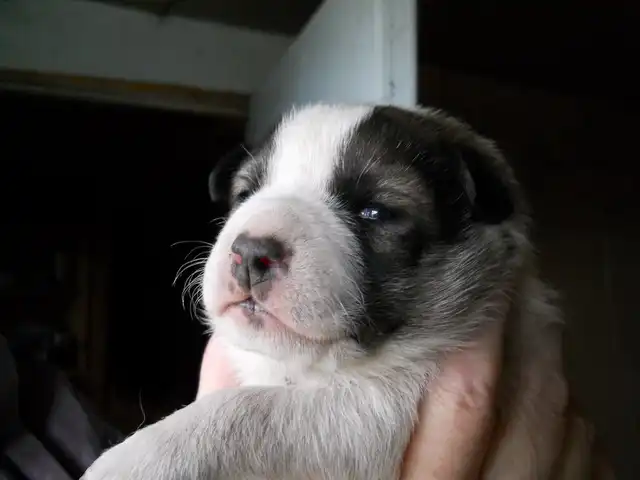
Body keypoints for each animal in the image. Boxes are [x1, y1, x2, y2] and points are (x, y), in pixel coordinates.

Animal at [83, 104, 569, 479]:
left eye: (375, 212)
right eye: (245, 194)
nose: (251, 253)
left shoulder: (372, 417)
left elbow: (250, 409)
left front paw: (131, 461)